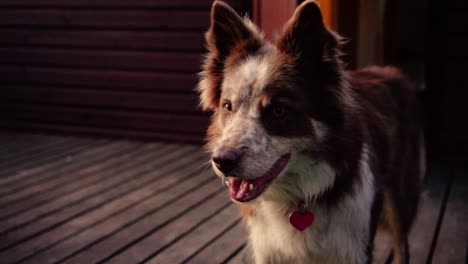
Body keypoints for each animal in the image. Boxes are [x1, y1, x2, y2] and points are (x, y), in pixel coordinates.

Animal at [197, 1, 424, 262]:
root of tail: (392, 71)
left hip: (400, 194)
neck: (299, 199)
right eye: (228, 106)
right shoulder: (268, 250)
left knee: (402, 243)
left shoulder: (354, 248)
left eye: (278, 110)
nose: (222, 162)